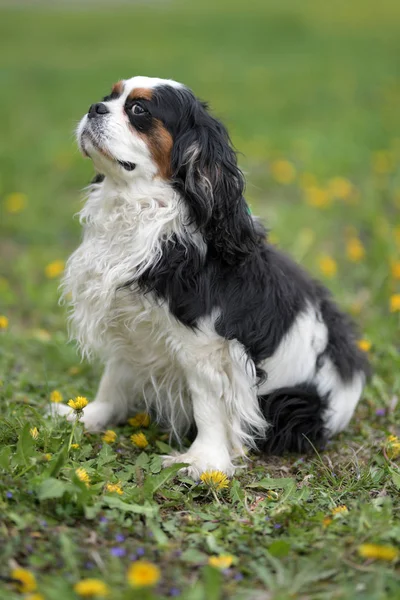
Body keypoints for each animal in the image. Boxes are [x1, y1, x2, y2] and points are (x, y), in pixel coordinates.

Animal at [52, 76, 368, 478]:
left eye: (138, 110)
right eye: (110, 96)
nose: (95, 108)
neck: (146, 213)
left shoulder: (206, 347)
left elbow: (208, 403)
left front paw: (202, 461)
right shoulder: (130, 323)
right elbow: (115, 375)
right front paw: (86, 415)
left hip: (293, 405)